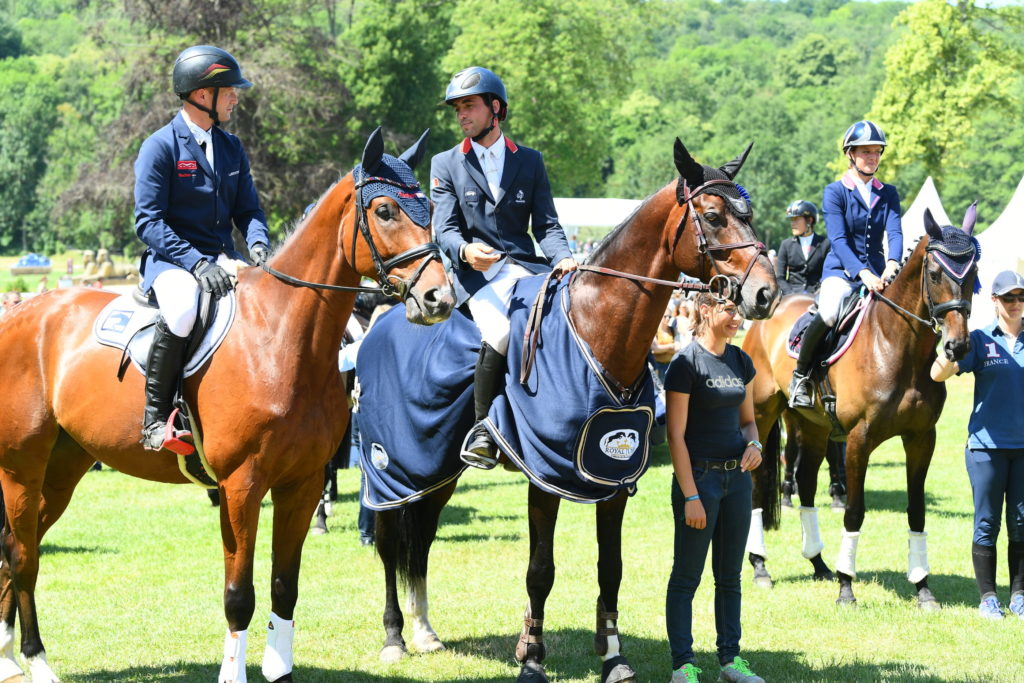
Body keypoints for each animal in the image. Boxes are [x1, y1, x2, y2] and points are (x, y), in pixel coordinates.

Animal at [0, 125, 452, 679]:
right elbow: (240, 595)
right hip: (21, 467)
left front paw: (279, 668)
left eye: (429, 207)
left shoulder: (301, 484)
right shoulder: (241, 485)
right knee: (23, 555)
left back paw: (8, 656)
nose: (439, 299)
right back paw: (35, 660)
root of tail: (23, 311)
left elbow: (284, 586)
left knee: (14, 549)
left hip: (64, 468)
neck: (281, 336)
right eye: (385, 210)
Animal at [372, 140, 778, 683]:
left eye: (747, 215)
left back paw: (425, 631)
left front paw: (613, 655)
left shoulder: (613, 480)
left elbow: (612, 567)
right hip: (391, 467)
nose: (766, 293)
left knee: (423, 536)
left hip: (436, 473)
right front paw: (532, 658)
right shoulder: (544, 477)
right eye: (713, 217)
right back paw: (395, 636)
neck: (595, 330)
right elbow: (540, 571)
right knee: (388, 540)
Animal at [741, 206, 978, 610]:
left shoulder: (921, 438)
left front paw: (923, 588)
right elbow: (854, 511)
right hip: (764, 413)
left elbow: (917, 511)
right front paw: (846, 588)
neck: (898, 347)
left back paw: (818, 563)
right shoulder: (858, 439)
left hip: (813, 426)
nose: (957, 347)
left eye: (974, 273)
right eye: (934, 273)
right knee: (758, 487)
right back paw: (761, 567)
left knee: (806, 484)